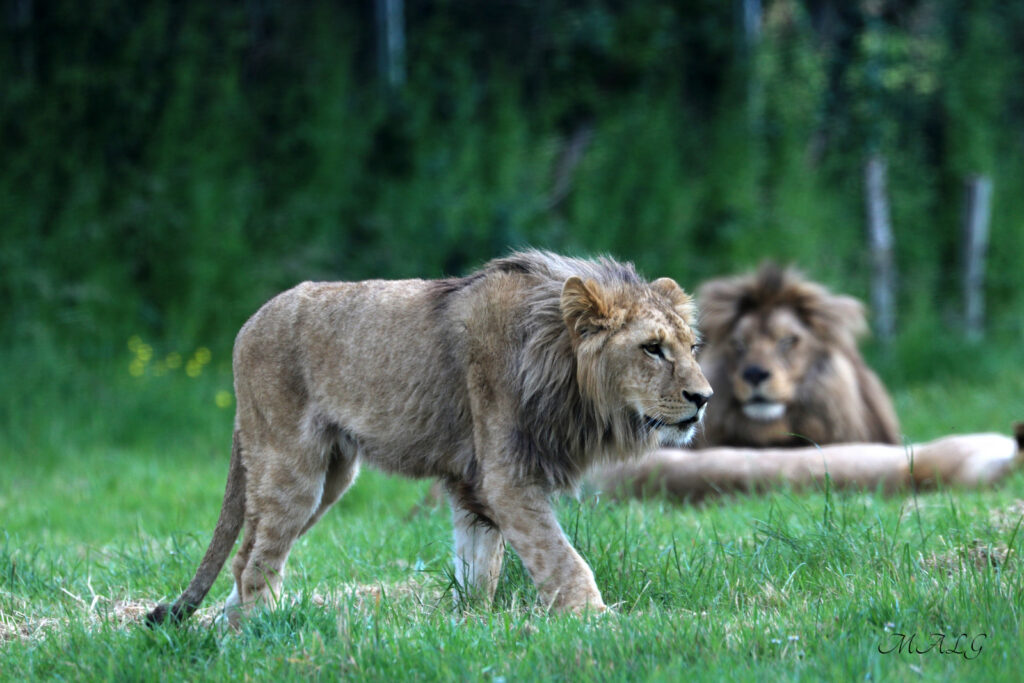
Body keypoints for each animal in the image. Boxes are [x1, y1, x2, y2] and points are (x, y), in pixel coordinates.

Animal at [148, 250, 712, 626]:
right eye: (652, 348)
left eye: (690, 346)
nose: (703, 397)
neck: (560, 363)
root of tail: (248, 324)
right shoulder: (507, 478)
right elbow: (560, 557)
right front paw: (599, 621)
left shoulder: (473, 482)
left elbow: (480, 564)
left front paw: (474, 622)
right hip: (291, 466)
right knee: (256, 557)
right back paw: (256, 632)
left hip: (332, 477)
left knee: (249, 551)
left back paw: (231, 627)